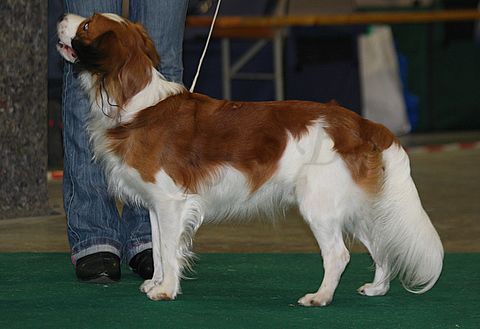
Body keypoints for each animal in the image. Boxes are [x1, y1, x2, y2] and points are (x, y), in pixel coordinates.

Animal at [57, 12, 442, 304]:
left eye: (86, 26)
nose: (61, 16)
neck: (137, 104)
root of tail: (361, 123)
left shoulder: (170, 202)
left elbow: (167, 247)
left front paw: (165, 290)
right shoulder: (156, 204)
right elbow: (159, 250)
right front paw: (156, 282)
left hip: (319, 204)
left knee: (338, 254)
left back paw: (320, 297)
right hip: (348, 204)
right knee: (379, 244)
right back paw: (377, 288)